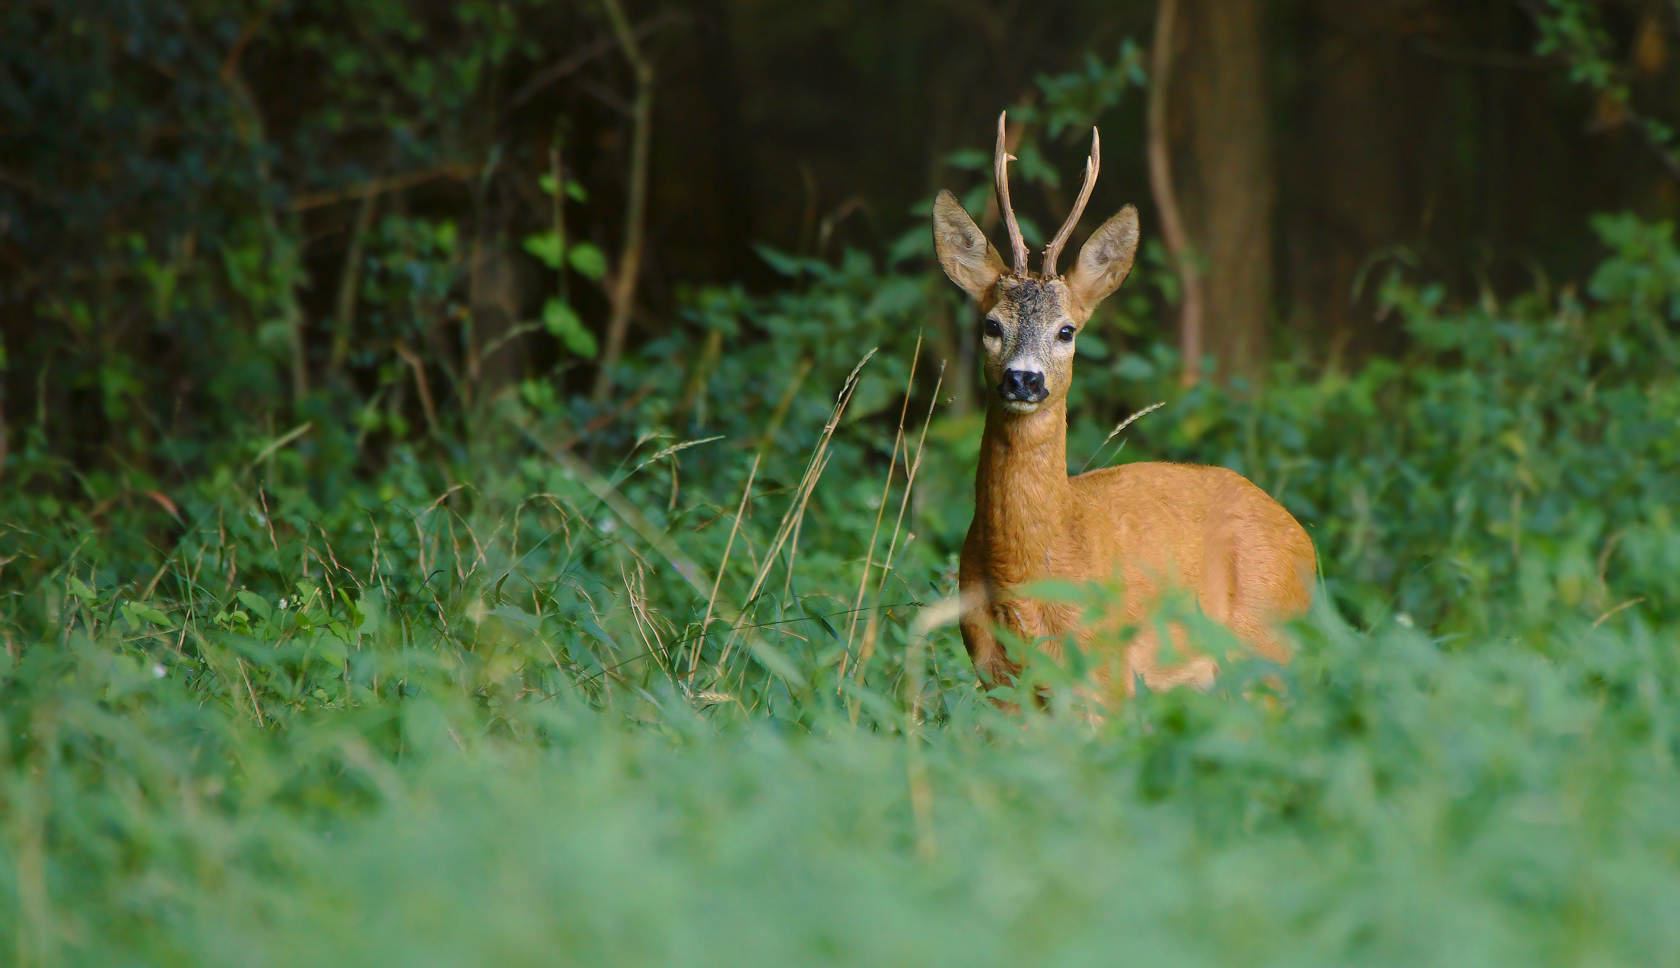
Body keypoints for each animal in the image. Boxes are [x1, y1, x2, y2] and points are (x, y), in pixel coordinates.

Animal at [934, 115, 1310, 695]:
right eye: (990, 325)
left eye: (1067, 330)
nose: (1024, 379)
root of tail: (1305, 542)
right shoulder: (994, 676)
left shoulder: (1106, 673)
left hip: (1267, 650)